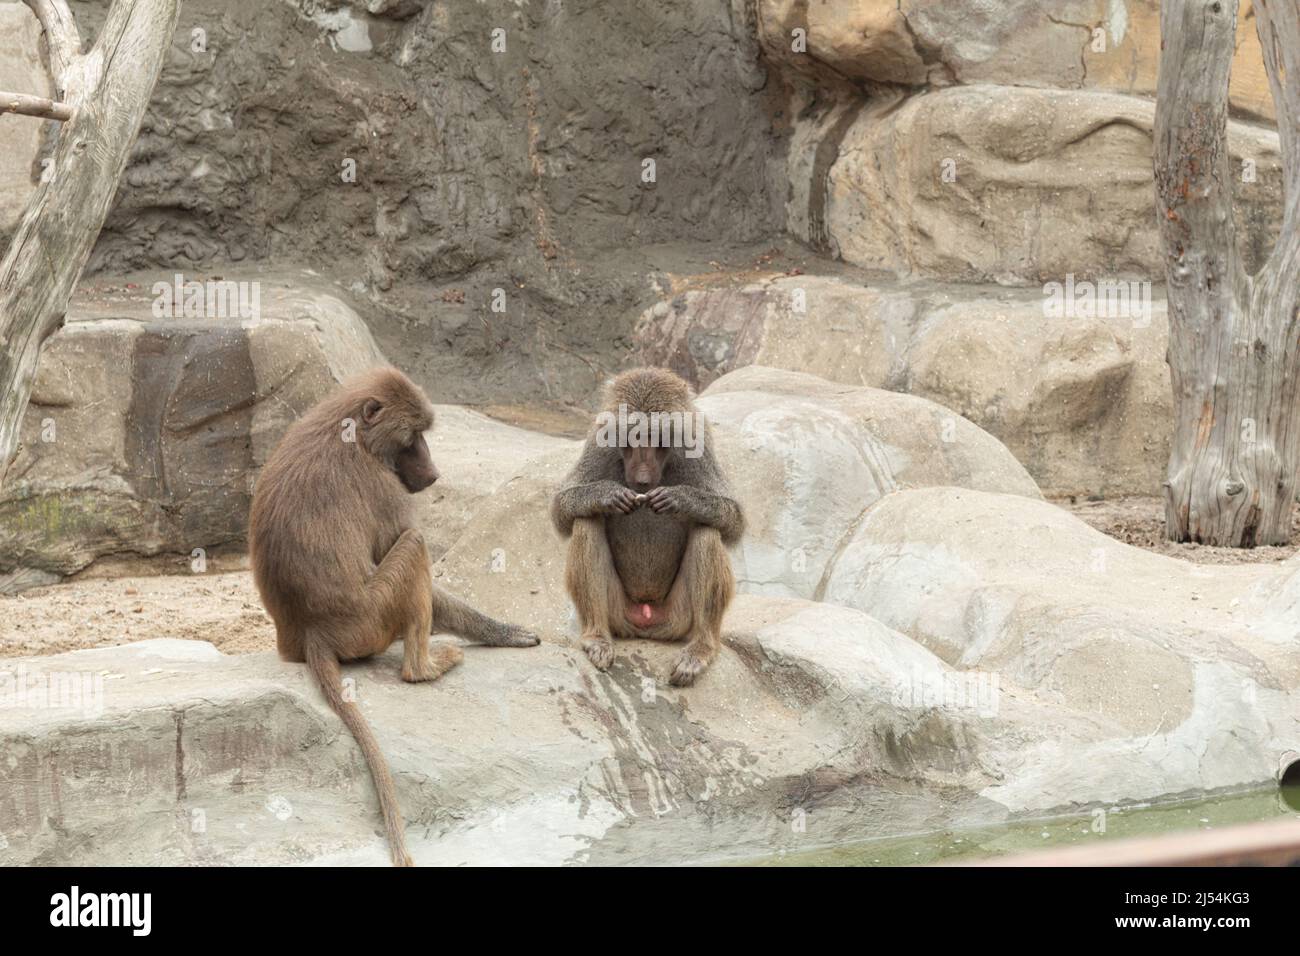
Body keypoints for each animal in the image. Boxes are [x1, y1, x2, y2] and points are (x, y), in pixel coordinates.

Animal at [248, 366, 540, 867]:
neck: (351, 433)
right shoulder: (384, 487)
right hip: (373, 618)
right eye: (413, 436)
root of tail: (313, 632)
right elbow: (406, 541)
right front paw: (503, 631)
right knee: (415, 547)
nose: (434, 473)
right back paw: (427, 667)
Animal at [551, 367, 744, 686]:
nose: (642, 479)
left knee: (707, 531)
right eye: (631, 437)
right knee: (586, 522)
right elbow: (561, 511)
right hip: (618, 614)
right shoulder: (598, 440)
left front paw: (682, 499)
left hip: (679, 618)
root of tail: (646, 620)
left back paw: (700, 649)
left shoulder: (698, 442)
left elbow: (734, 521)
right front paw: (605, 495)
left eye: (655, 437)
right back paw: (596, 638)